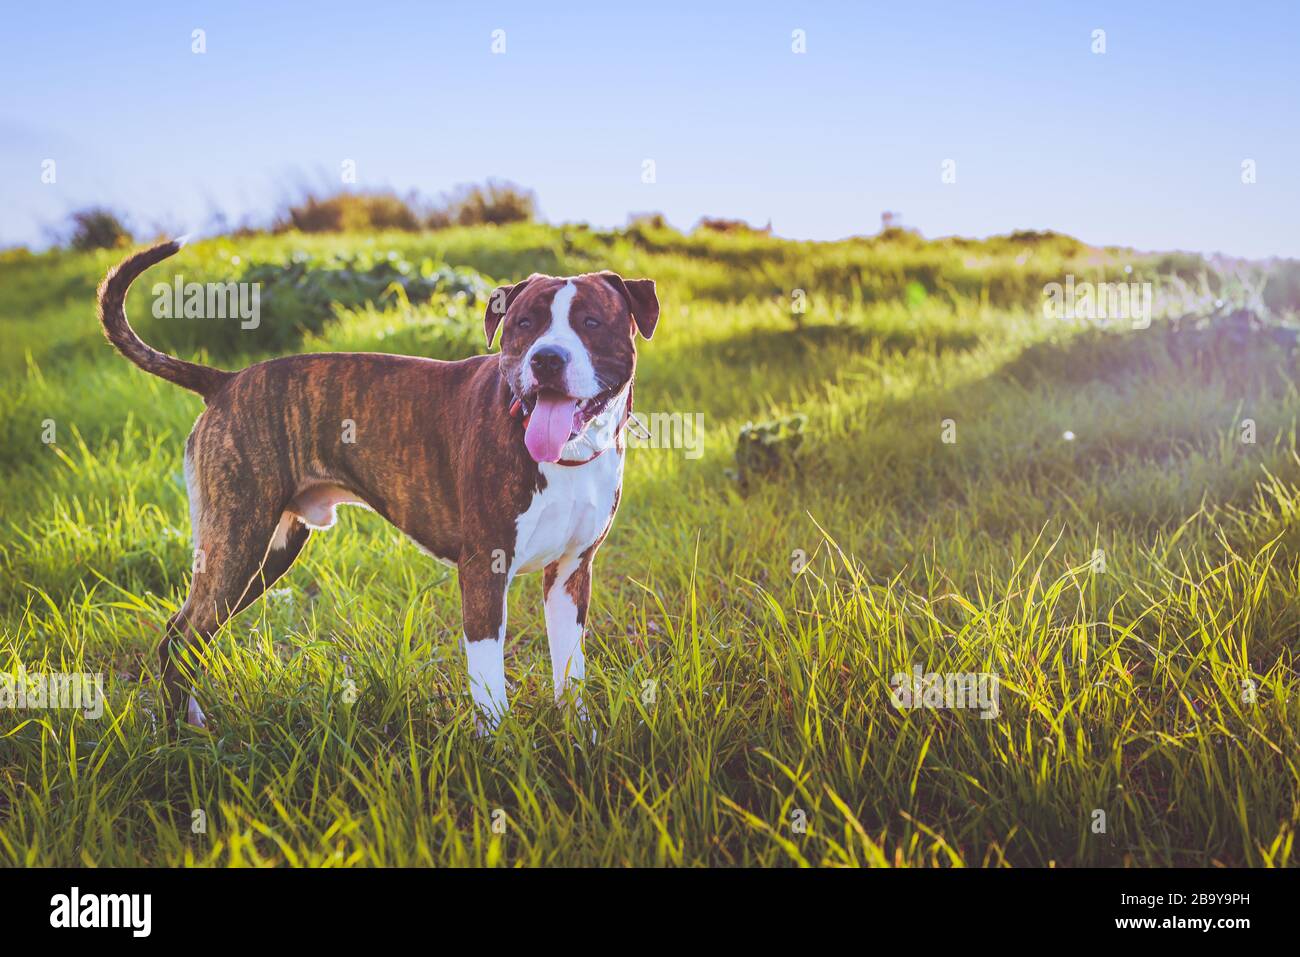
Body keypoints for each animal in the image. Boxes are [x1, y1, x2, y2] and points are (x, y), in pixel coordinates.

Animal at [97, 240, 660, 733]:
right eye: (526, 323)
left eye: (590, 322)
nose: (546, 358)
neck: (566, 457)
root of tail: (225, 381)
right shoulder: (485, 571)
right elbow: (489, 686)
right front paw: (497, 754)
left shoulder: (570, 575)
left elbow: (570, 673)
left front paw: (582, 740)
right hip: (236, 543)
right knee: (182, 634)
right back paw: (180, 737)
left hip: (268, 552)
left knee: (190, 634)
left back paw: (190, 721)